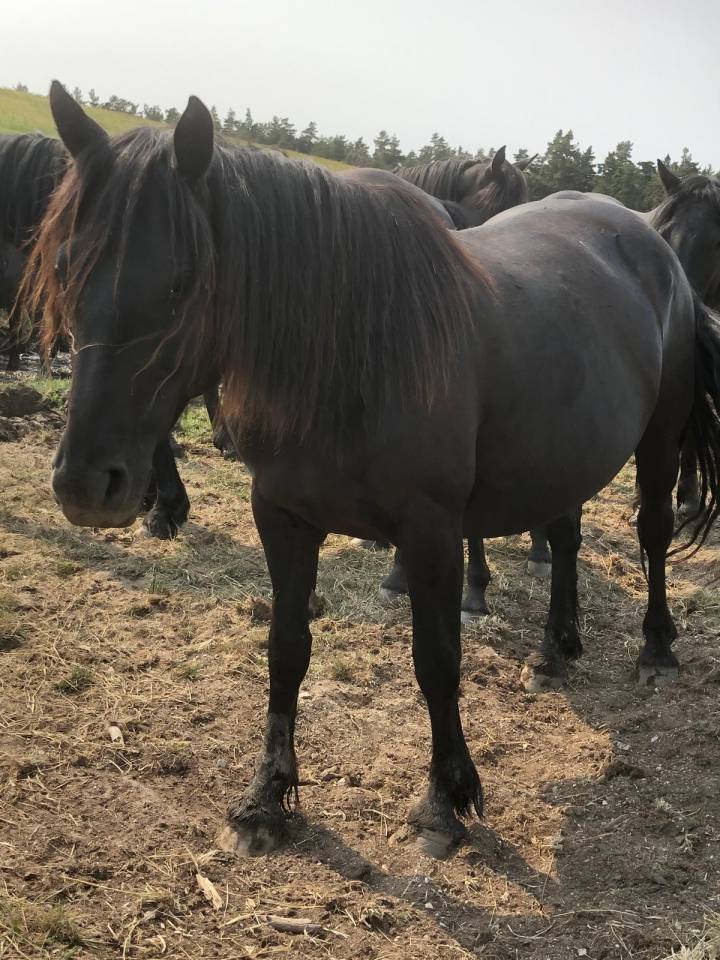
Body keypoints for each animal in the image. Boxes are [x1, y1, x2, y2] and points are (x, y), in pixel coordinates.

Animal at [33, 84, 720, 857]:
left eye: (182, 284)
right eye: (63, 264)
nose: (85, 485)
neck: (351, 351)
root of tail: (651, 242)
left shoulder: (431, 532)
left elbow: (437, 661)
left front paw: (446, 799)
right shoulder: (282, 517)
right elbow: (286, 649)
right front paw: (267, 797)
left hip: (660, 437)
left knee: (654, 531)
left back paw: (656, 646)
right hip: (564, 451)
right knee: (567, 537)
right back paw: (556, 646)